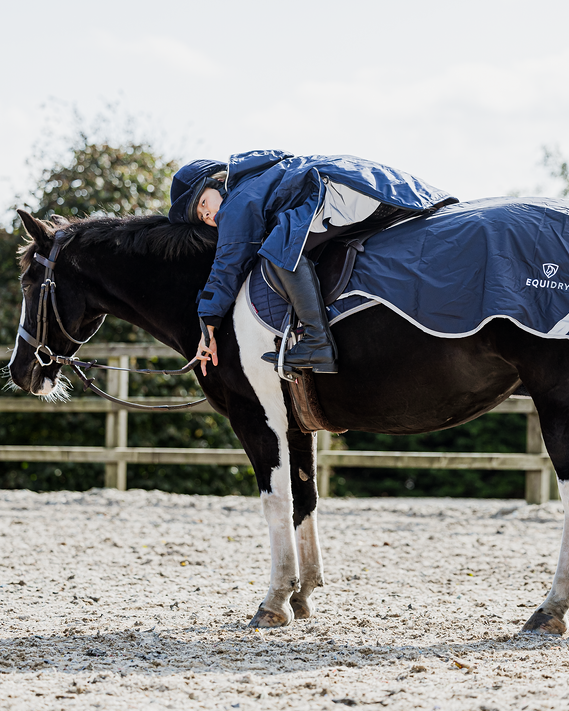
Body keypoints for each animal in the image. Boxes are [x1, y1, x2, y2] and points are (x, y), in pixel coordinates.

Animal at [7, 207, 569, 635]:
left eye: (31, 281)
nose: (20, 370)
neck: (217, 290)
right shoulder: (297, 426)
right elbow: (305, 499)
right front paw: (304, 596)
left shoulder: (259, 420)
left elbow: (276, 502)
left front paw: (274, 601)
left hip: (556, 405)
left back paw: (549, 610)